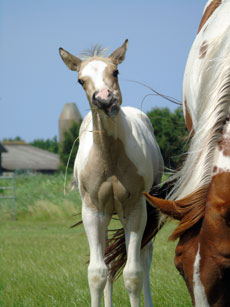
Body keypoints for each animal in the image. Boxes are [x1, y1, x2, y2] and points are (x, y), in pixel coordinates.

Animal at [59, 39, 164, 306]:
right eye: (80, 80)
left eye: (115, 71)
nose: (105, 99)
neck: (110, 158)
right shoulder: (93, 211)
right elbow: (97, 272)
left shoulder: (136, 209)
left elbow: (133, 274)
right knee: (107, 258)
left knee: (146, 255)